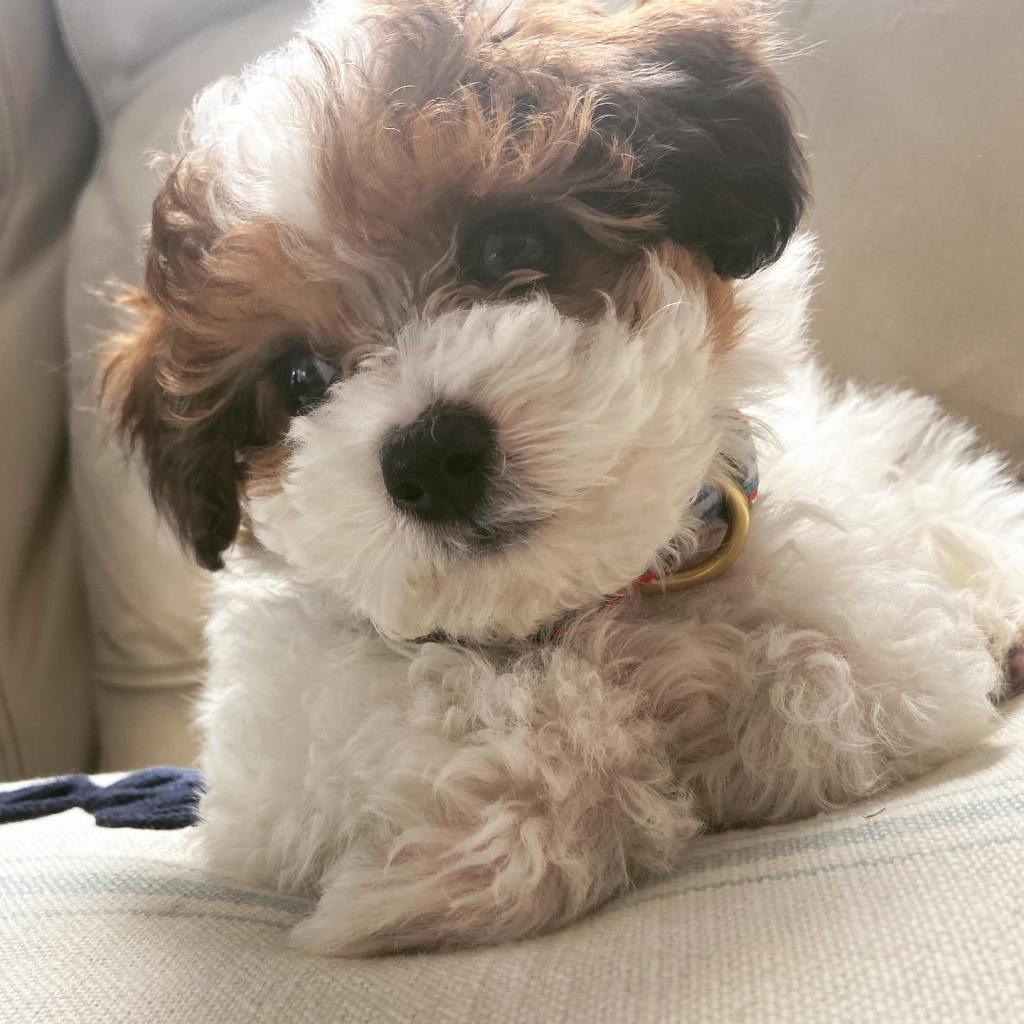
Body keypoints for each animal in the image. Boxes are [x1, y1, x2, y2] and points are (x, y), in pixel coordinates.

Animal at [105, 0, 1024, 956]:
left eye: (510, 243)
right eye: (297, 380)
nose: (428, 455)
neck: (576, 608)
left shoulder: (884, 659)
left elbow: (814, 681)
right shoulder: (276, 772)